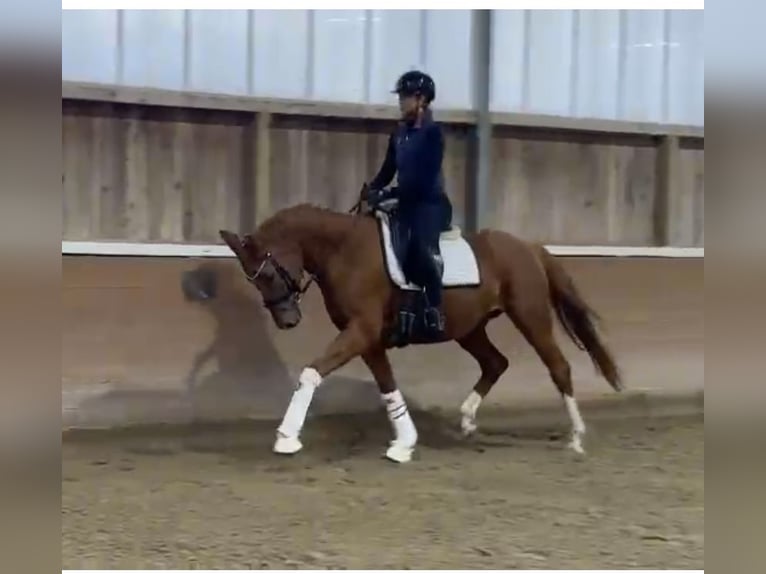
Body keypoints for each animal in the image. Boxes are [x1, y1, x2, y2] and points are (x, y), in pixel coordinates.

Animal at [218, 202, 624, 464]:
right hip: (469, 328)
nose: (287, 322)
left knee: (558, 367)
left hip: (530, 315)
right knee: (496, 363)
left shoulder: (361, 330)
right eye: (253, 280)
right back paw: (467, 420)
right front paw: (404, 444)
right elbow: (388, 387)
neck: (344, 250)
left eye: (266, 274)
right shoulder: (366, 338)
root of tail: (528, 247)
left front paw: (286, 438)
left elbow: (311, 372)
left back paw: (575, 438)